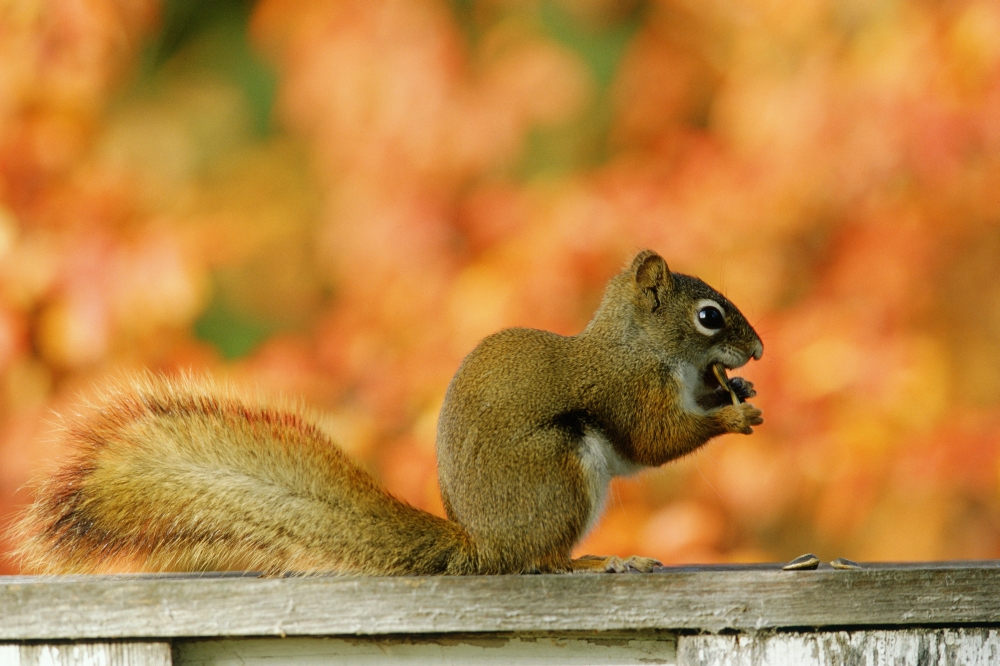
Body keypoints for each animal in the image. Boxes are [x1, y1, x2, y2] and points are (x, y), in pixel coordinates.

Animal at [12, 250, 763, 576]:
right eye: (709, 315)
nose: (757, 348)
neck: (639, 345)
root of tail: (483, 544)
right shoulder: (626, 391)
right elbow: (655, 439)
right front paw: (729, 418)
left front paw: (741, 394)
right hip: (559, 474)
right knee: (541, 563)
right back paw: (598, 562)